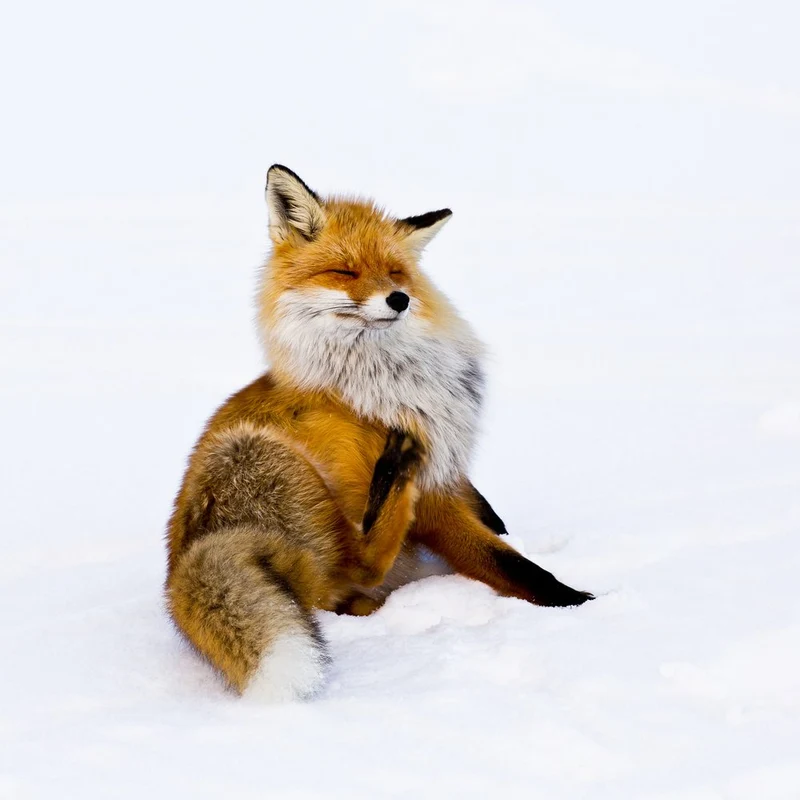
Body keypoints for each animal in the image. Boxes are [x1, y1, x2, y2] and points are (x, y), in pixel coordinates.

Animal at [165, 165, 592, 701]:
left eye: (395, 273)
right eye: (345, 272)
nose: (399, 299)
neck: (388, 378)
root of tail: (177, 573)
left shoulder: (450, 466)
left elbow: (490, 519)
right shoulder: (434, 496)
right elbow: (511, 564)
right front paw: (578, 602)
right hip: (262, 455)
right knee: (357, 567)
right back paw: (394, 475)